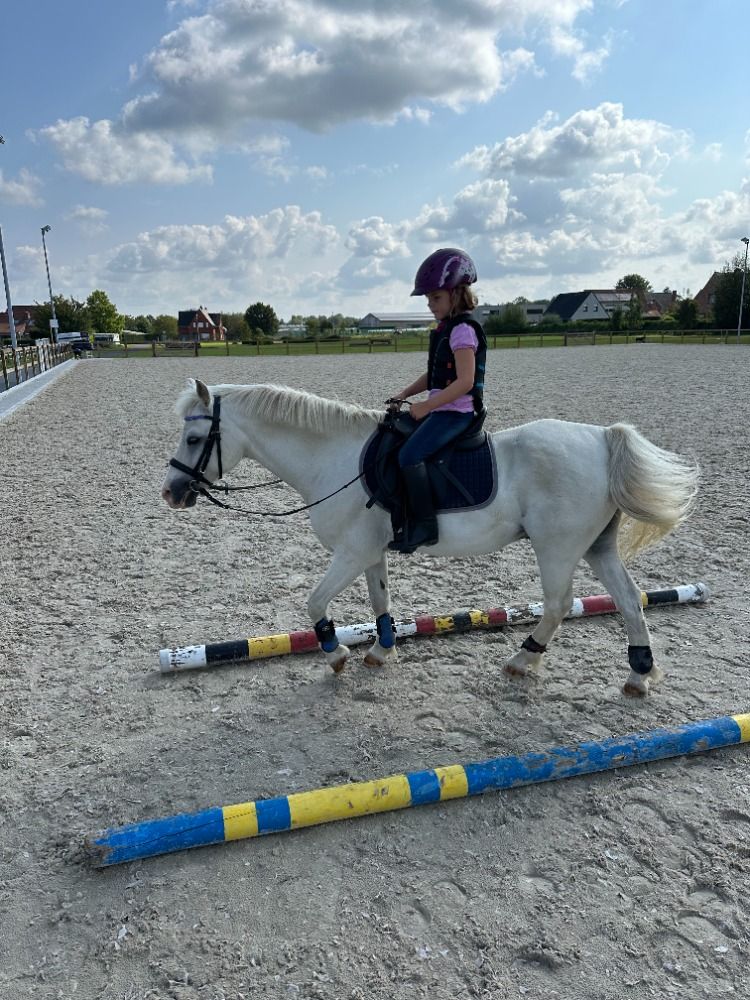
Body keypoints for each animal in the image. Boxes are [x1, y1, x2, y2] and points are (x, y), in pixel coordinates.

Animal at [161, 378, 699, 697]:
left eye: (194, 439)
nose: (171, 493)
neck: (332, 458)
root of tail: (602, 439)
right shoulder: (370, 552)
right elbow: (380, 601)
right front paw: (380, 652)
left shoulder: (351, 553)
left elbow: (313, 602)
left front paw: (336, 654)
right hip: (595, 546)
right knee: (628, 599)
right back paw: (639, 674)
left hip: (558, 547)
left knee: (559, 603)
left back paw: (523, 660)